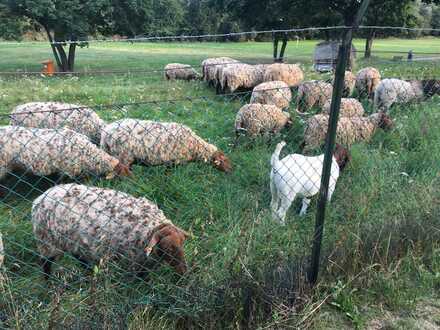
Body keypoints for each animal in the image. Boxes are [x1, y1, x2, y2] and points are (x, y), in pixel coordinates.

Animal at [31, 183, 189, 276]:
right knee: (46, 264)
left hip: (72, 240)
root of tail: (40, 197)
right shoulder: (130, 260)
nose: (183, 271)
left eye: (182, 243)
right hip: (47, 241)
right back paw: (49, 285)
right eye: (167, 249)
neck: (150, 228)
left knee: (79, 256)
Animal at [101, 119, 232, 173]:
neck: (195, 146)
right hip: (123, 156)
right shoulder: (175, 160)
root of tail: (106, 131)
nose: (231, 171)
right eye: (224, 161)